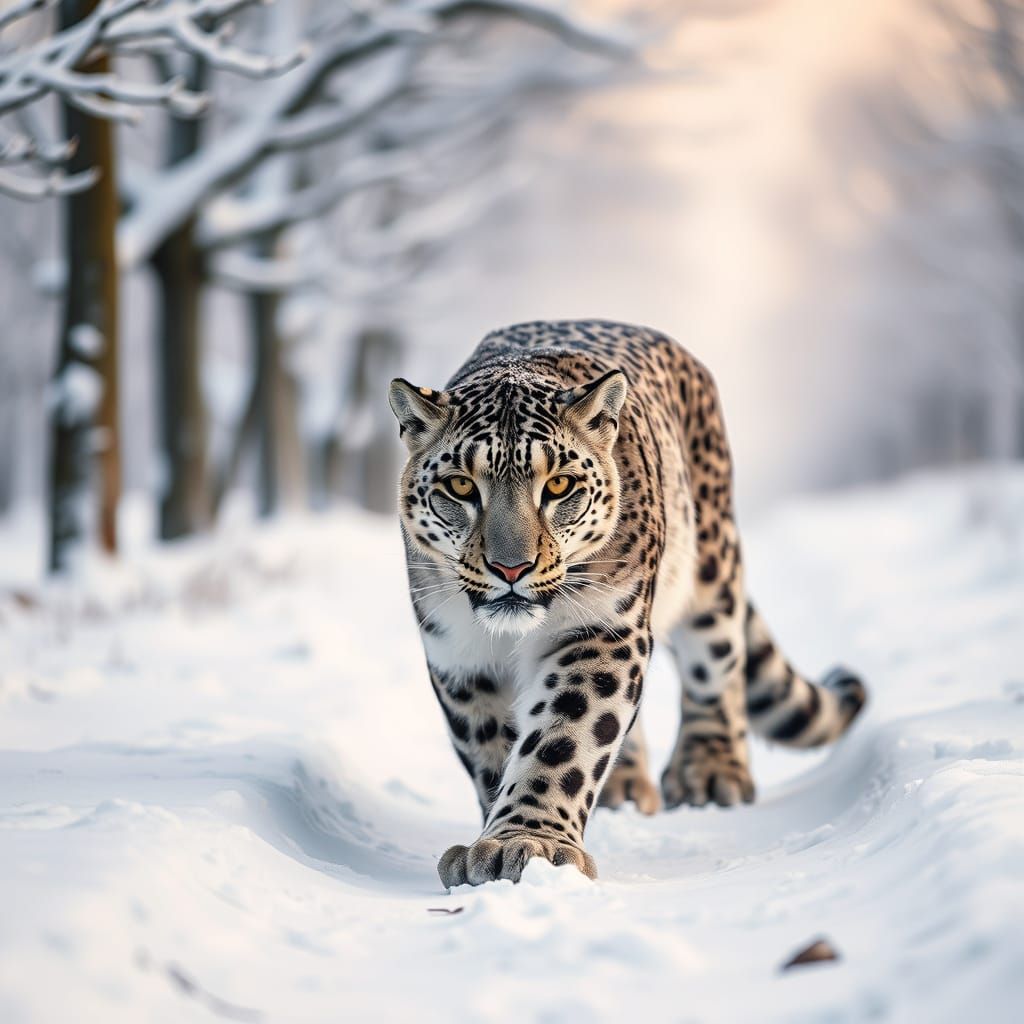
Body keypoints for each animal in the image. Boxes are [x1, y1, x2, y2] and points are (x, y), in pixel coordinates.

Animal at [388, 320, 867, 888]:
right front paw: (497, 839)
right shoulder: (460, 655)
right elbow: (494, 748)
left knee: (717, 666)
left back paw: (710, 774)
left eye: (559, 484)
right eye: (460, 485)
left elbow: (566, 736)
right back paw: (625, 787)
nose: (511, 568)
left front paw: (528, 843)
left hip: (712, 571)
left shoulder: (601, 629)